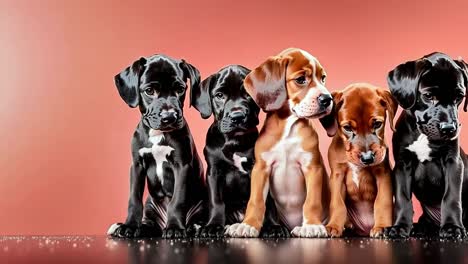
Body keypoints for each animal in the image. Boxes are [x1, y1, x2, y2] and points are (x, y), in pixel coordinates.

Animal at [109, 54, 207, 239]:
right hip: (151, 205)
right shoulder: (137, 165)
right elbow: (134, 198)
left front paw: (175, 227)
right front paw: (130, 225)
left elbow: (177, 200)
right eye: (149, 91)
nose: (169, 117)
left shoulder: (182, 165)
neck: (157, 135)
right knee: (150, 225)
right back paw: (138, 227)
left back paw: (193, 227)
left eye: (180, 89)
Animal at [225, 48, 334, 238]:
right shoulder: (261, 168)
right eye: (301, 79)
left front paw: (312, 225)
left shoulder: (312, 167)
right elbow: (256, 201)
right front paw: (248, 225)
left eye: (323, 78)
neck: (287, 129)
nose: (327, 99)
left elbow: (312, 201)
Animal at [326, 83, 394, 238]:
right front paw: (334, 226)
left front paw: (382, 226)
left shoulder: (383, 174)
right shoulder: (337, 175)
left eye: (377, 124)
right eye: (347, 128)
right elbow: (337, 203)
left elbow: (383, 201)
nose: (367, 158)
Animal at [384, 52, 468, 240]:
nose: (449, 129)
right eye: (429, 96)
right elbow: (402, 198)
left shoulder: (454, 163)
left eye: (458, 97)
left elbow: (451, 197)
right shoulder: (402, 165)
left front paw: (452, 227)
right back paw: (419, 227)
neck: (423, 135)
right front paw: (400, 227)